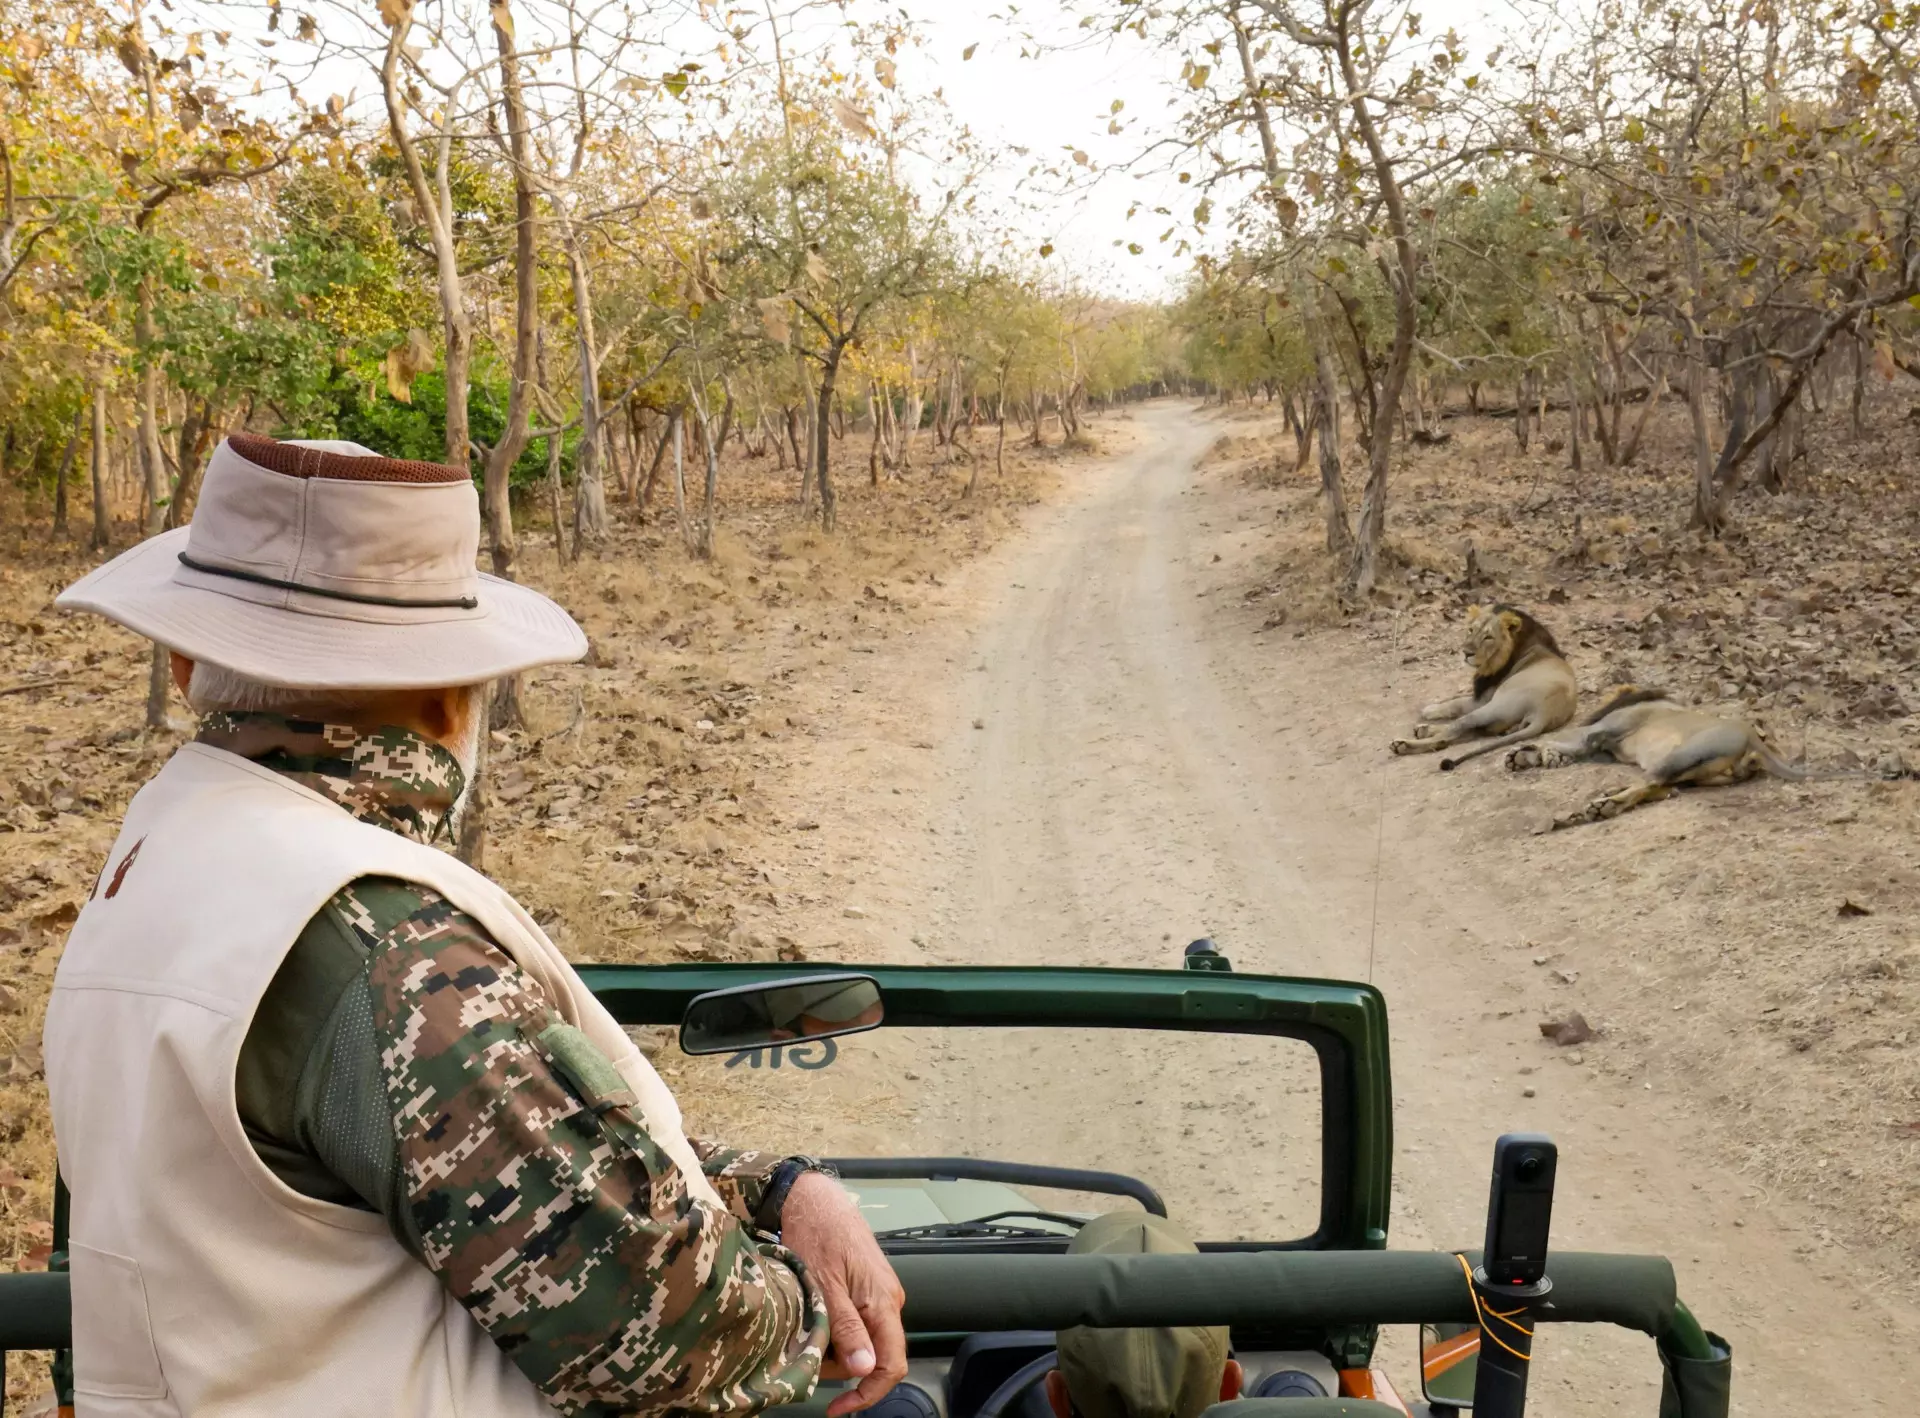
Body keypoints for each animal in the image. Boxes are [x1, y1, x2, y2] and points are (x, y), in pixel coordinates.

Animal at [1390, 606, 1582, 771]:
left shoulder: (1484, 698)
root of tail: (1545, 712)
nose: (1466, 653)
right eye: (1470, 630)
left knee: (1450, 733)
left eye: (1488, 637)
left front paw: (1429, 709)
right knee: (1462, 732)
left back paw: (1403, 744)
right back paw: (1421, 732)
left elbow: (1457, 703)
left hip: (1493, 707)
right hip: (1496, 722)